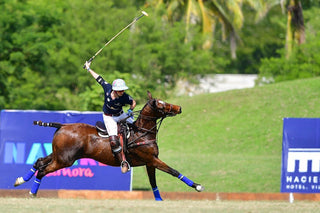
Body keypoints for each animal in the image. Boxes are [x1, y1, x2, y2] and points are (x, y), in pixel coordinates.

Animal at [13, 91, 204, 200]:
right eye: (162, 104)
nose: (179, 108)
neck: (141, 132)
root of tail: (62, 125)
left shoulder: (150, 162)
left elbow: (153, 184)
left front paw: (160, 201)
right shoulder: (151, 159)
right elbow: (174, 171)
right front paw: (197, 186)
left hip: (59, 154)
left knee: (39, 161)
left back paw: (20, 180)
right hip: (65, 160)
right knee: (43, 170)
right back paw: (32, 193)